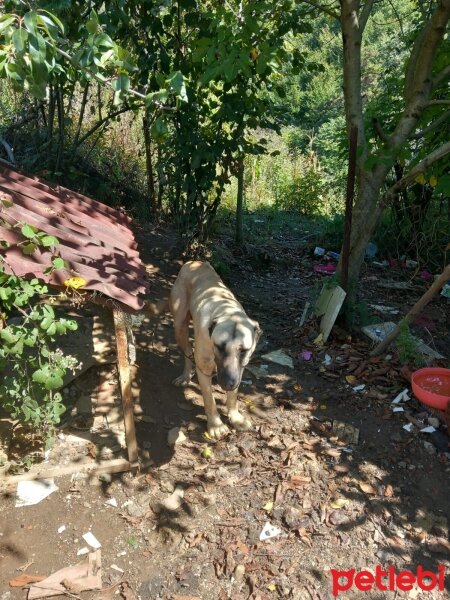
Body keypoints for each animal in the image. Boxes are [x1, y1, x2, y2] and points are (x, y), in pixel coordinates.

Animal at [169, 260, 260, 438]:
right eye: (219, 346)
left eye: (243, 350)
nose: (228, 383)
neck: (227, 312)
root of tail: (194, 261)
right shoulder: (204, 371)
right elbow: (209, 400)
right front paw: (216, 425)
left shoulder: (239, 370)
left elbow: (233, 397)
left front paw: (235, 417)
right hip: (179, 327)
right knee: (188, 352)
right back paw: (185, 375)